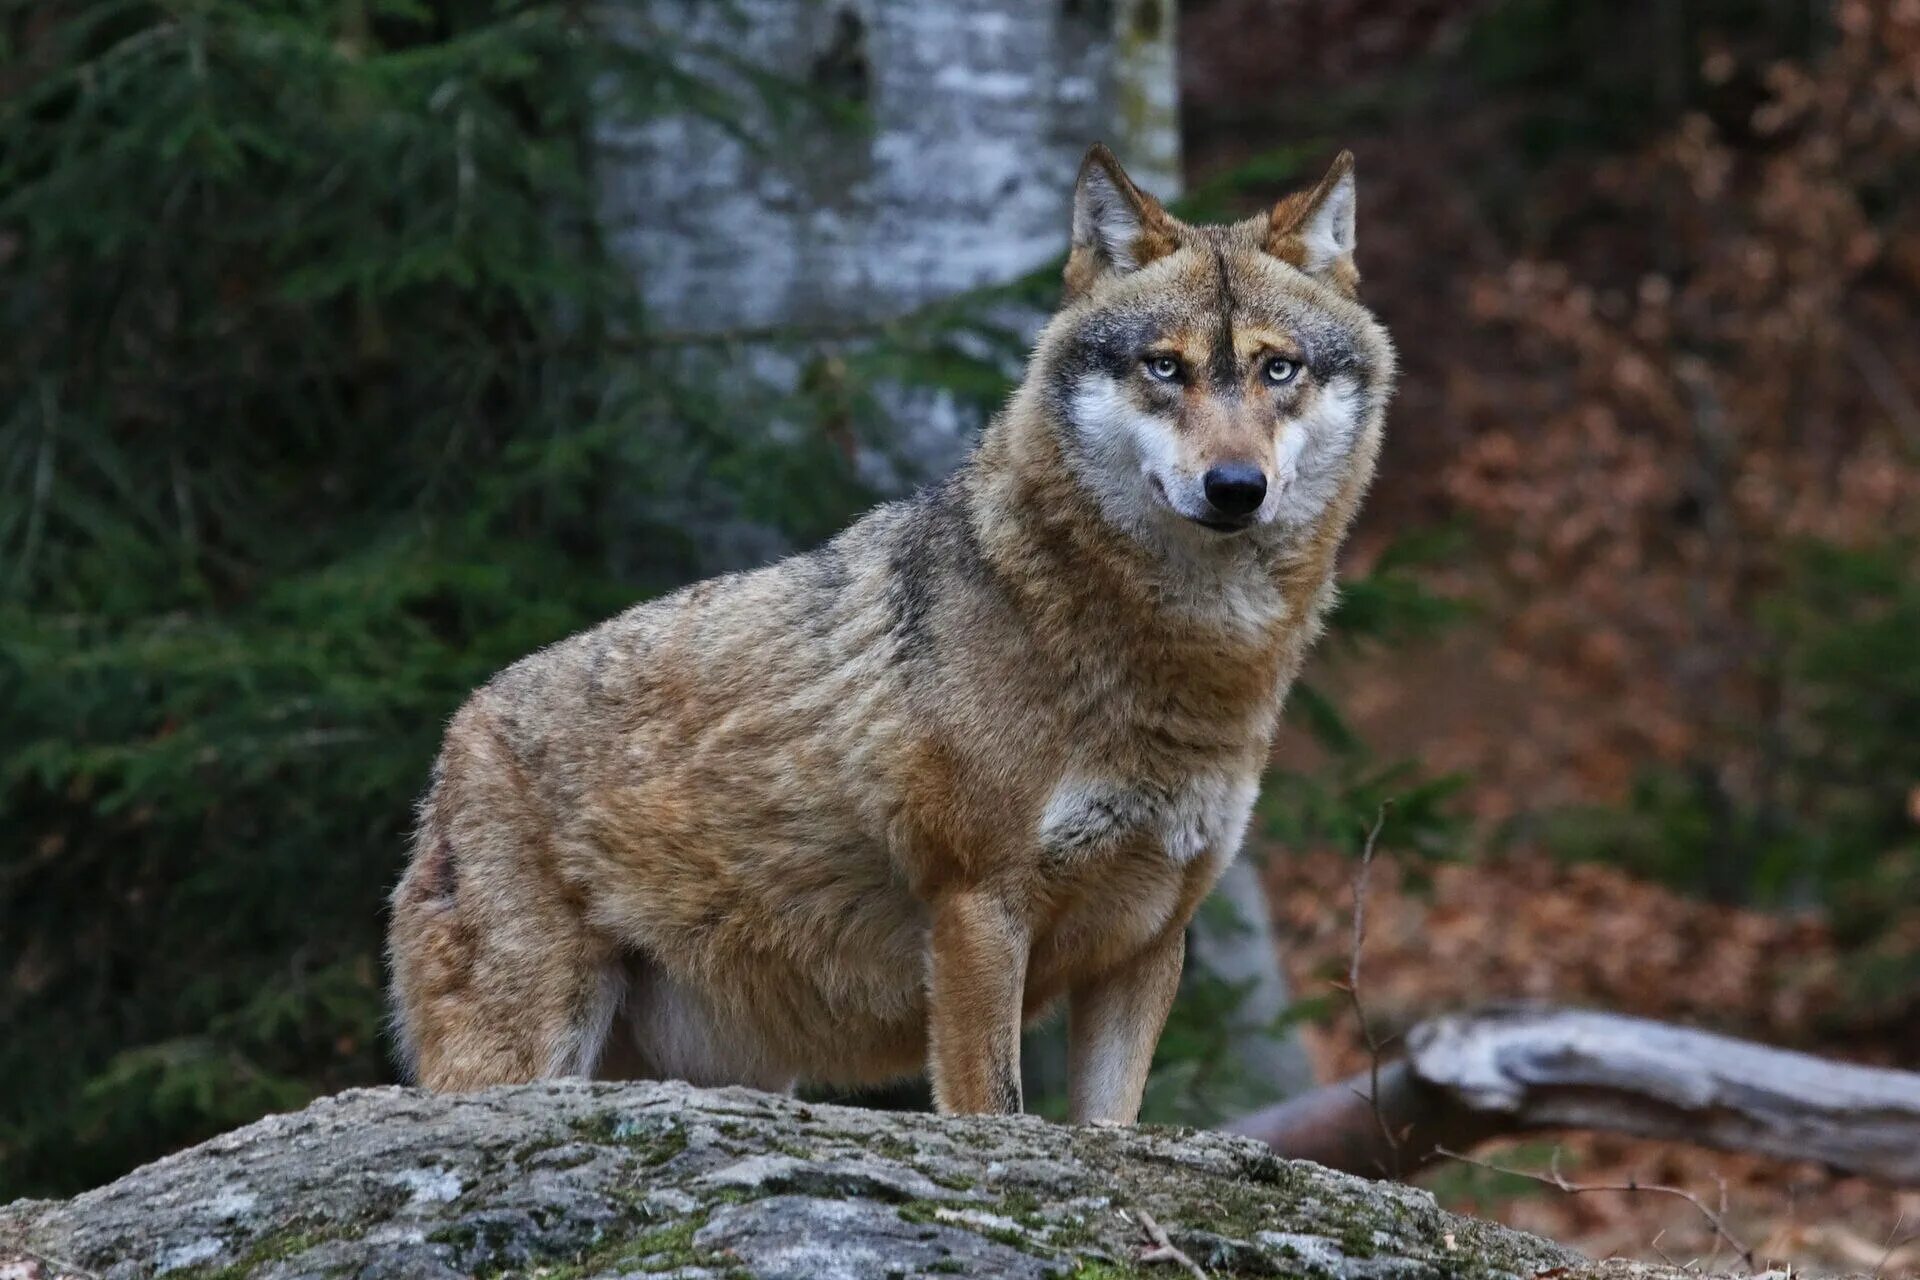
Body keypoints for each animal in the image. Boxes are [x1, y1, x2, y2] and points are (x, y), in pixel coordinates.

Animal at [385, 142, 1397, 1120]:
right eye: (1164, 367)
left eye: (1278, 369)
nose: (1235, 487)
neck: (1186, 662)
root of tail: (459, 730)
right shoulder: (978, 909)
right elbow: (993, 1110)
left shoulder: (1149, 942)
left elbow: (1109, 1129)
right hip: (527, 1053)